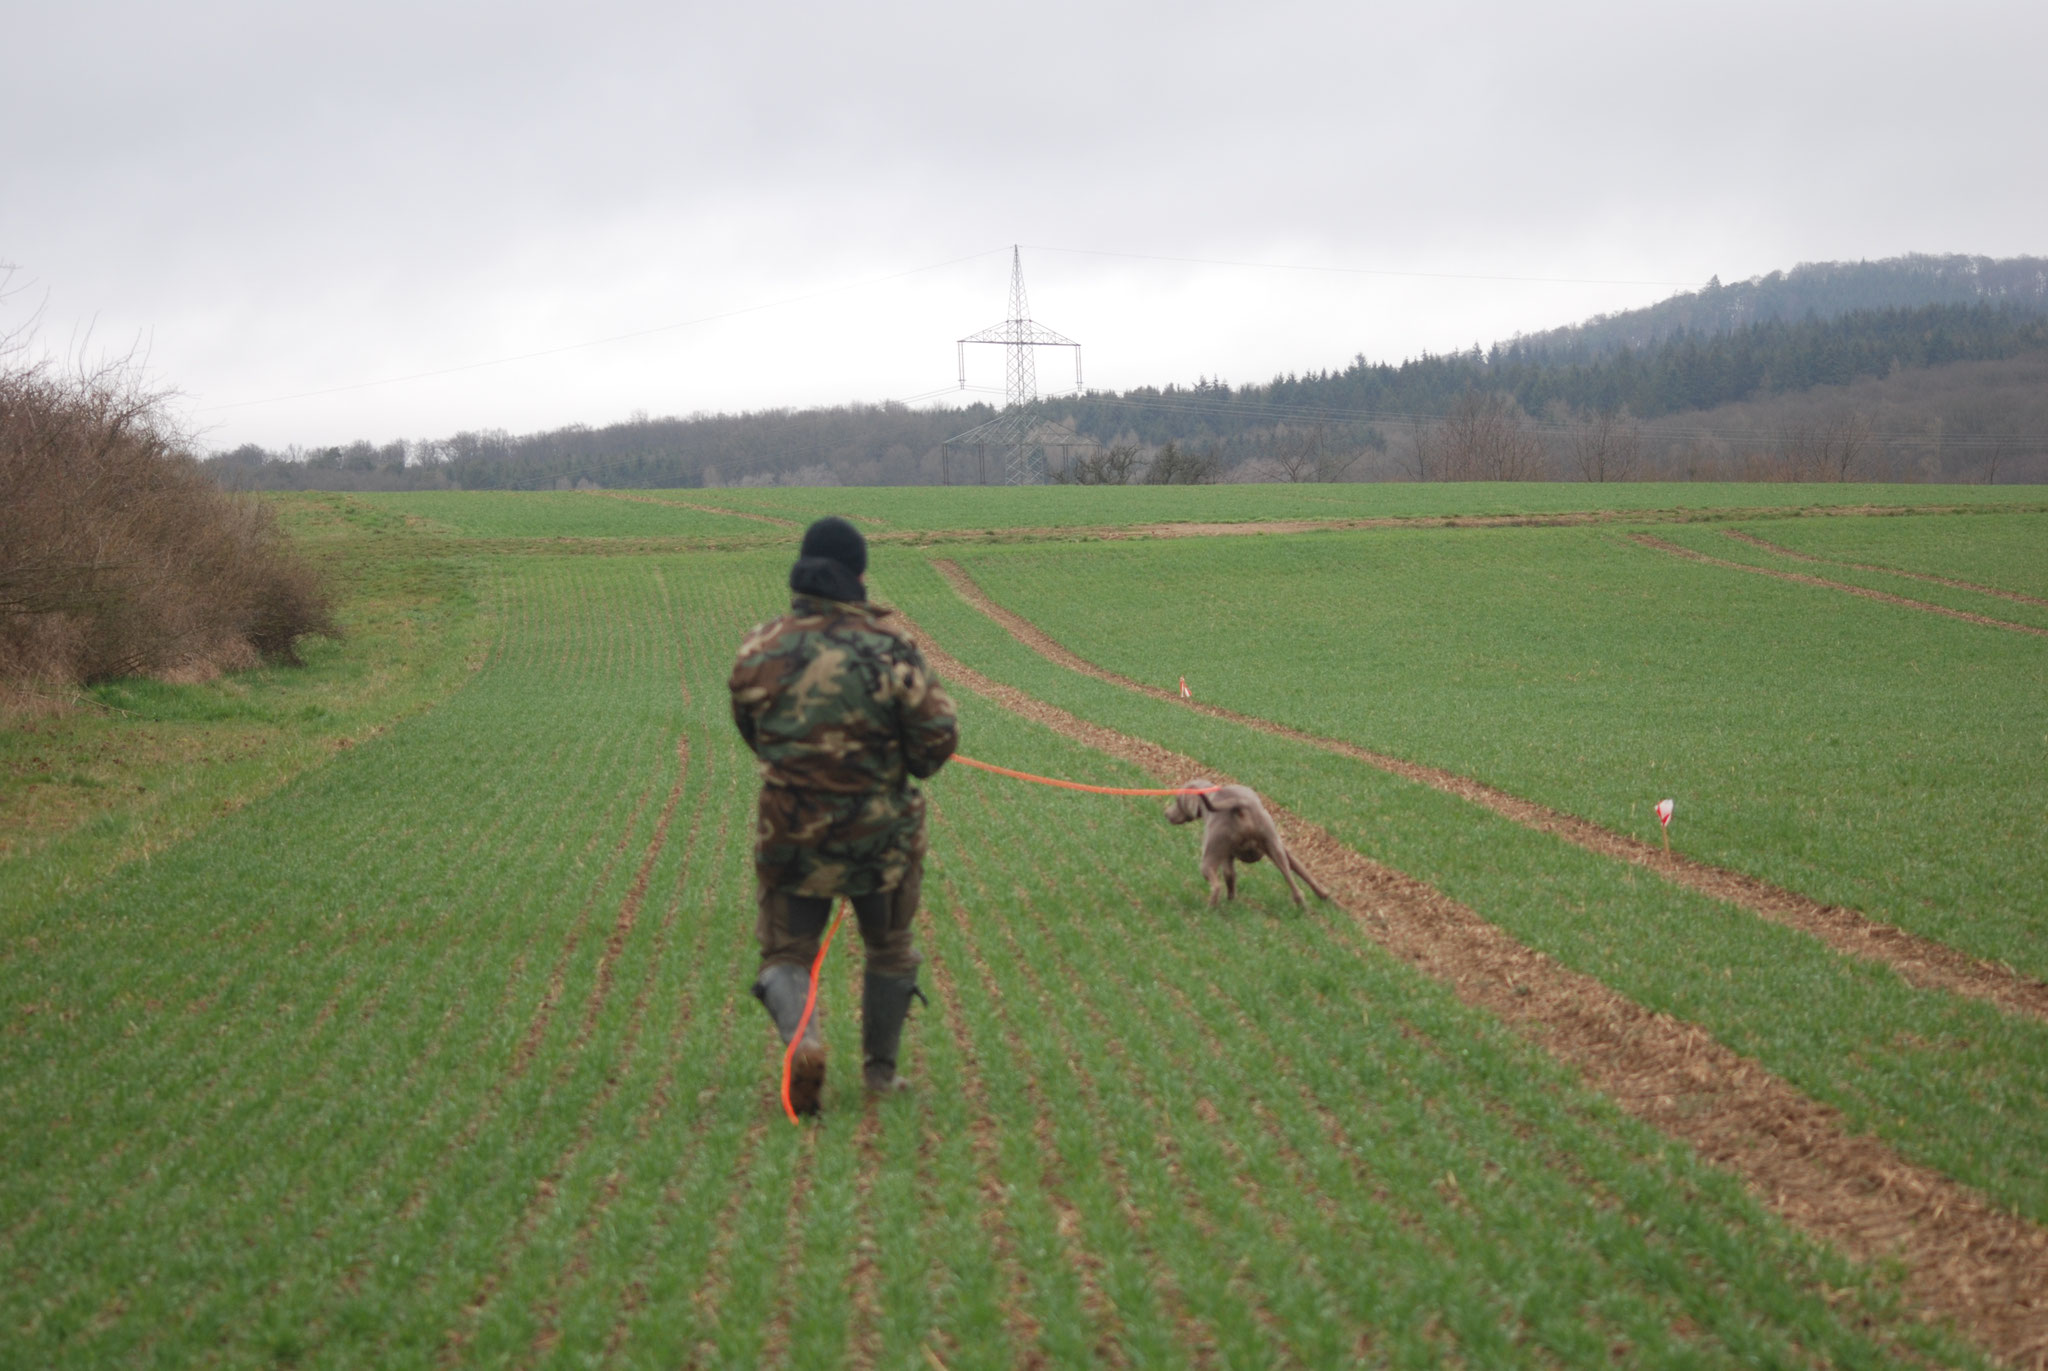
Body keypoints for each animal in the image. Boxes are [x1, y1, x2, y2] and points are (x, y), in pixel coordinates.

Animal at [1163, 774, 1335, 901]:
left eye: (1177, 800)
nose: (1166, 813)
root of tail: (1239, 805)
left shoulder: (1224, 854)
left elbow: (1228, 877)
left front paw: (1230, 901)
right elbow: (1303, 871)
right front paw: (1324, 894)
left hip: (1209, 855)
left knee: (1216, 885)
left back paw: (1211, 908)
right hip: (1274, 844)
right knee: (1295, 887)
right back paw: (1303, 905)